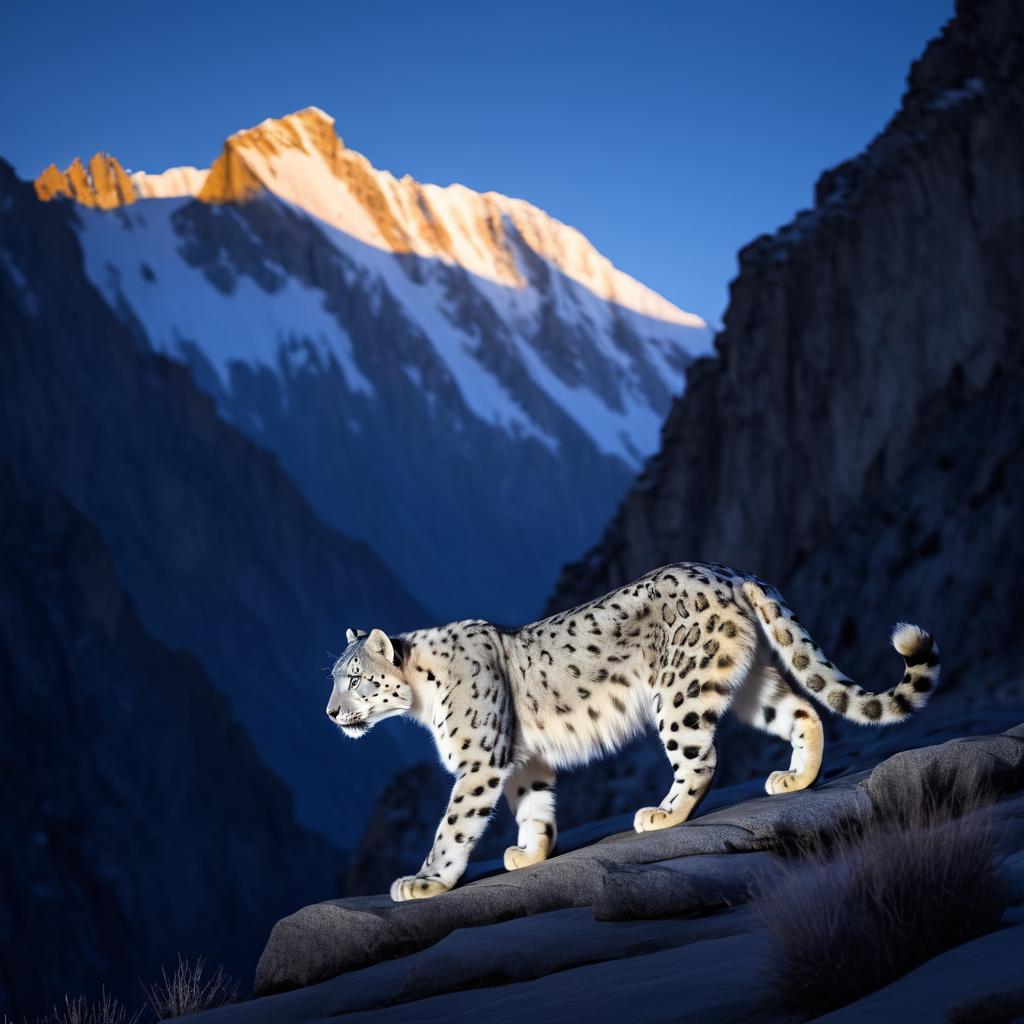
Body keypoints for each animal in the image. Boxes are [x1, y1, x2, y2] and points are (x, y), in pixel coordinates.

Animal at [325, 561, 937, 905]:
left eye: (354, 679)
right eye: (333, 677)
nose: (330, 713)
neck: (422, 701)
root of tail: (733, 574)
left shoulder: (480, 760)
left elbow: (452, 826)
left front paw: (424, 881)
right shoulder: (523, 760)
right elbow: (535, 805)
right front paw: (530, 853)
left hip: (679, 693)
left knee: (699, 758)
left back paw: (661, 814)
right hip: (746, 683)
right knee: (801, 710)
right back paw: (795, 778)